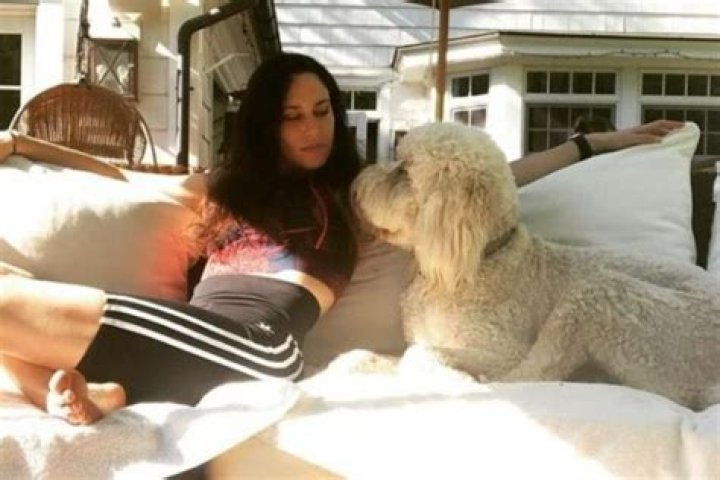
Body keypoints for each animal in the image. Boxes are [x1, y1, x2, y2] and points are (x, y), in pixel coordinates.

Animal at [351, 122, 720, 410]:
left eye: (404, 170)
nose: (355, 185)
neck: (483, 257)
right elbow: (399, 352)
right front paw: (373, 361)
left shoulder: (499, 348)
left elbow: (421, 354)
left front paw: (449, 374)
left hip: (598, 298)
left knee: (532, 374)